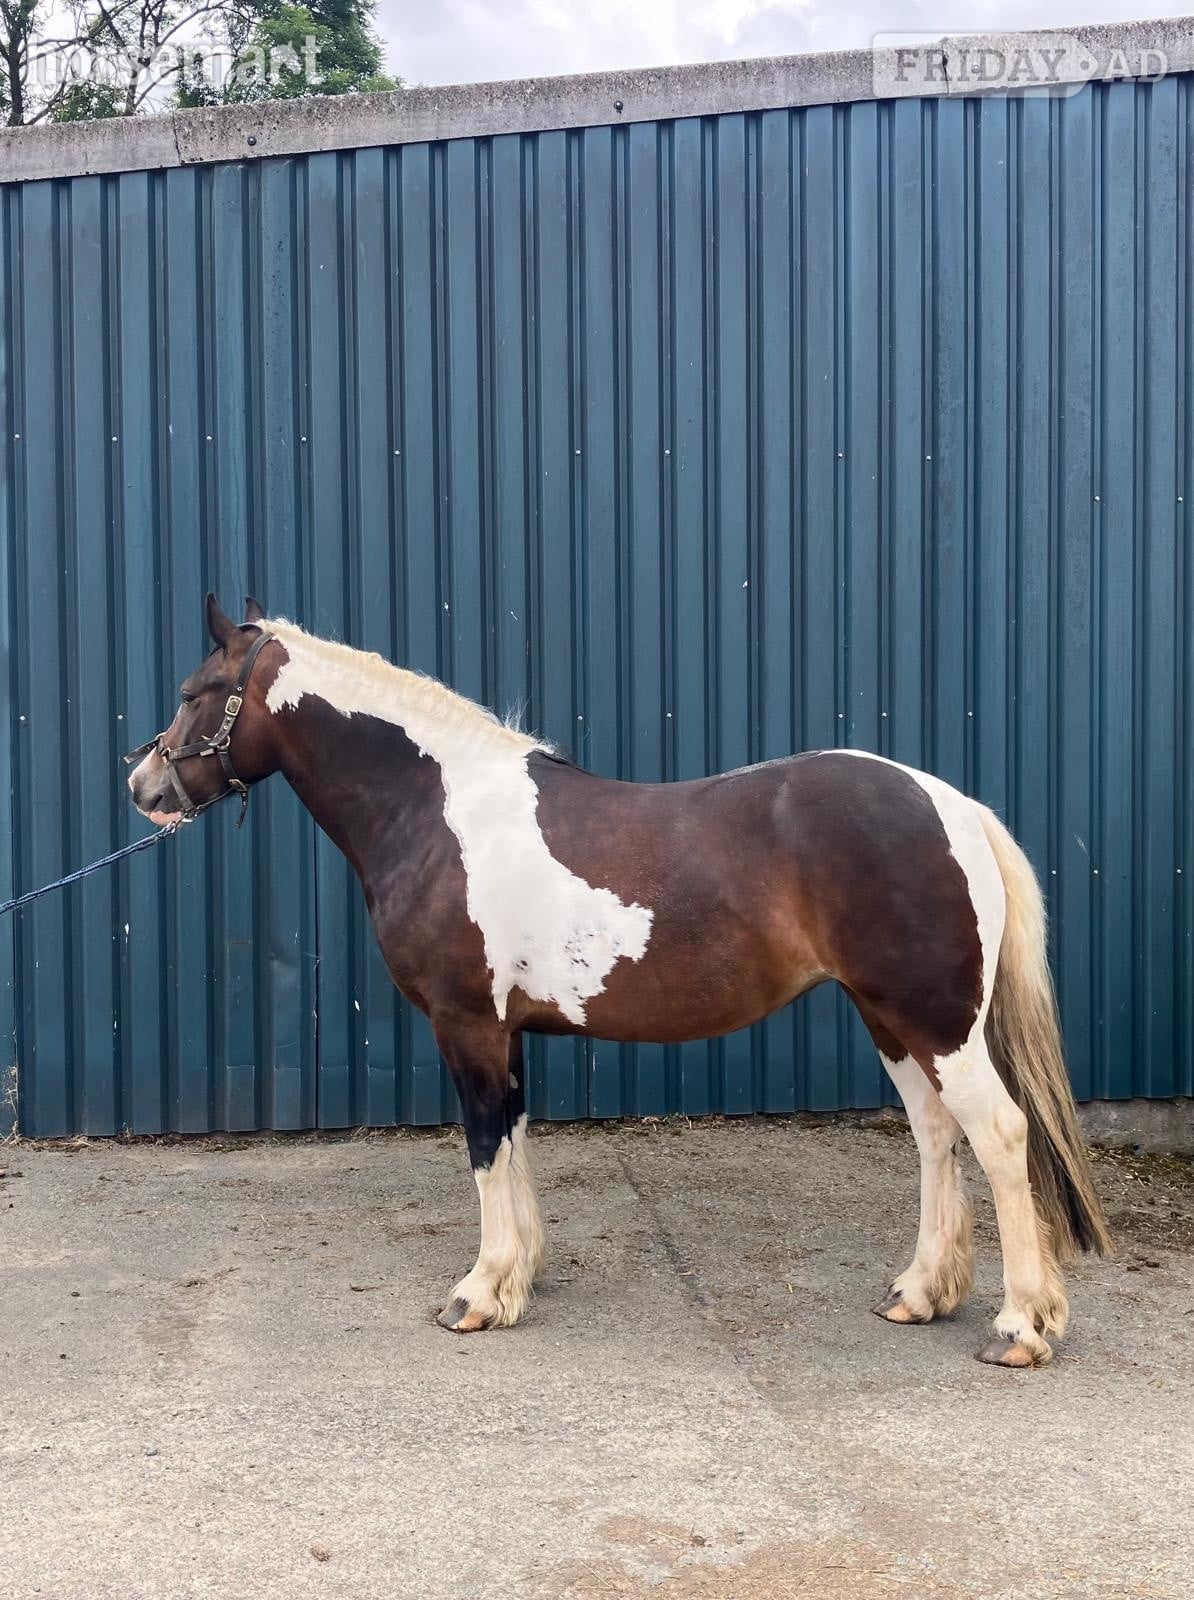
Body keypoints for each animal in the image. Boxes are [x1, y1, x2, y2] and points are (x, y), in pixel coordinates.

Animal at [126, 594, 1111, 1368]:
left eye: (194, 693)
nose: (143, 786)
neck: (438, 811)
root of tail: (952, 804)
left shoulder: (466, 1024)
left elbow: (484, 1147)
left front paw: (478, 1294)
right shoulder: (507, 1030)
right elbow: (515, 1139)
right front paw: (520, 1274)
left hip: (936, 1022)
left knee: (999, 1134)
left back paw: (1021, 1326)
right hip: (892, 1019)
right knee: (937, 1135)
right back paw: (920, 1292)